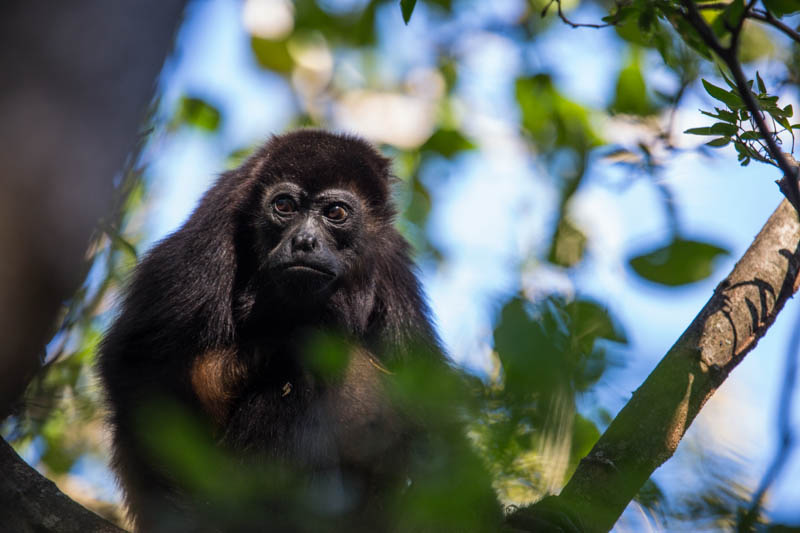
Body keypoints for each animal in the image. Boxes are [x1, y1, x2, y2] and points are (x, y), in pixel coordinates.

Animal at [98, 130, 500, 532]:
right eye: (285, 206)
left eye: (335, 213)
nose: (303, 242)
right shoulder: (211, 235)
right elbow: (138, 365)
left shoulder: (389, 259)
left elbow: (430, 414)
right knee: (292, 374)